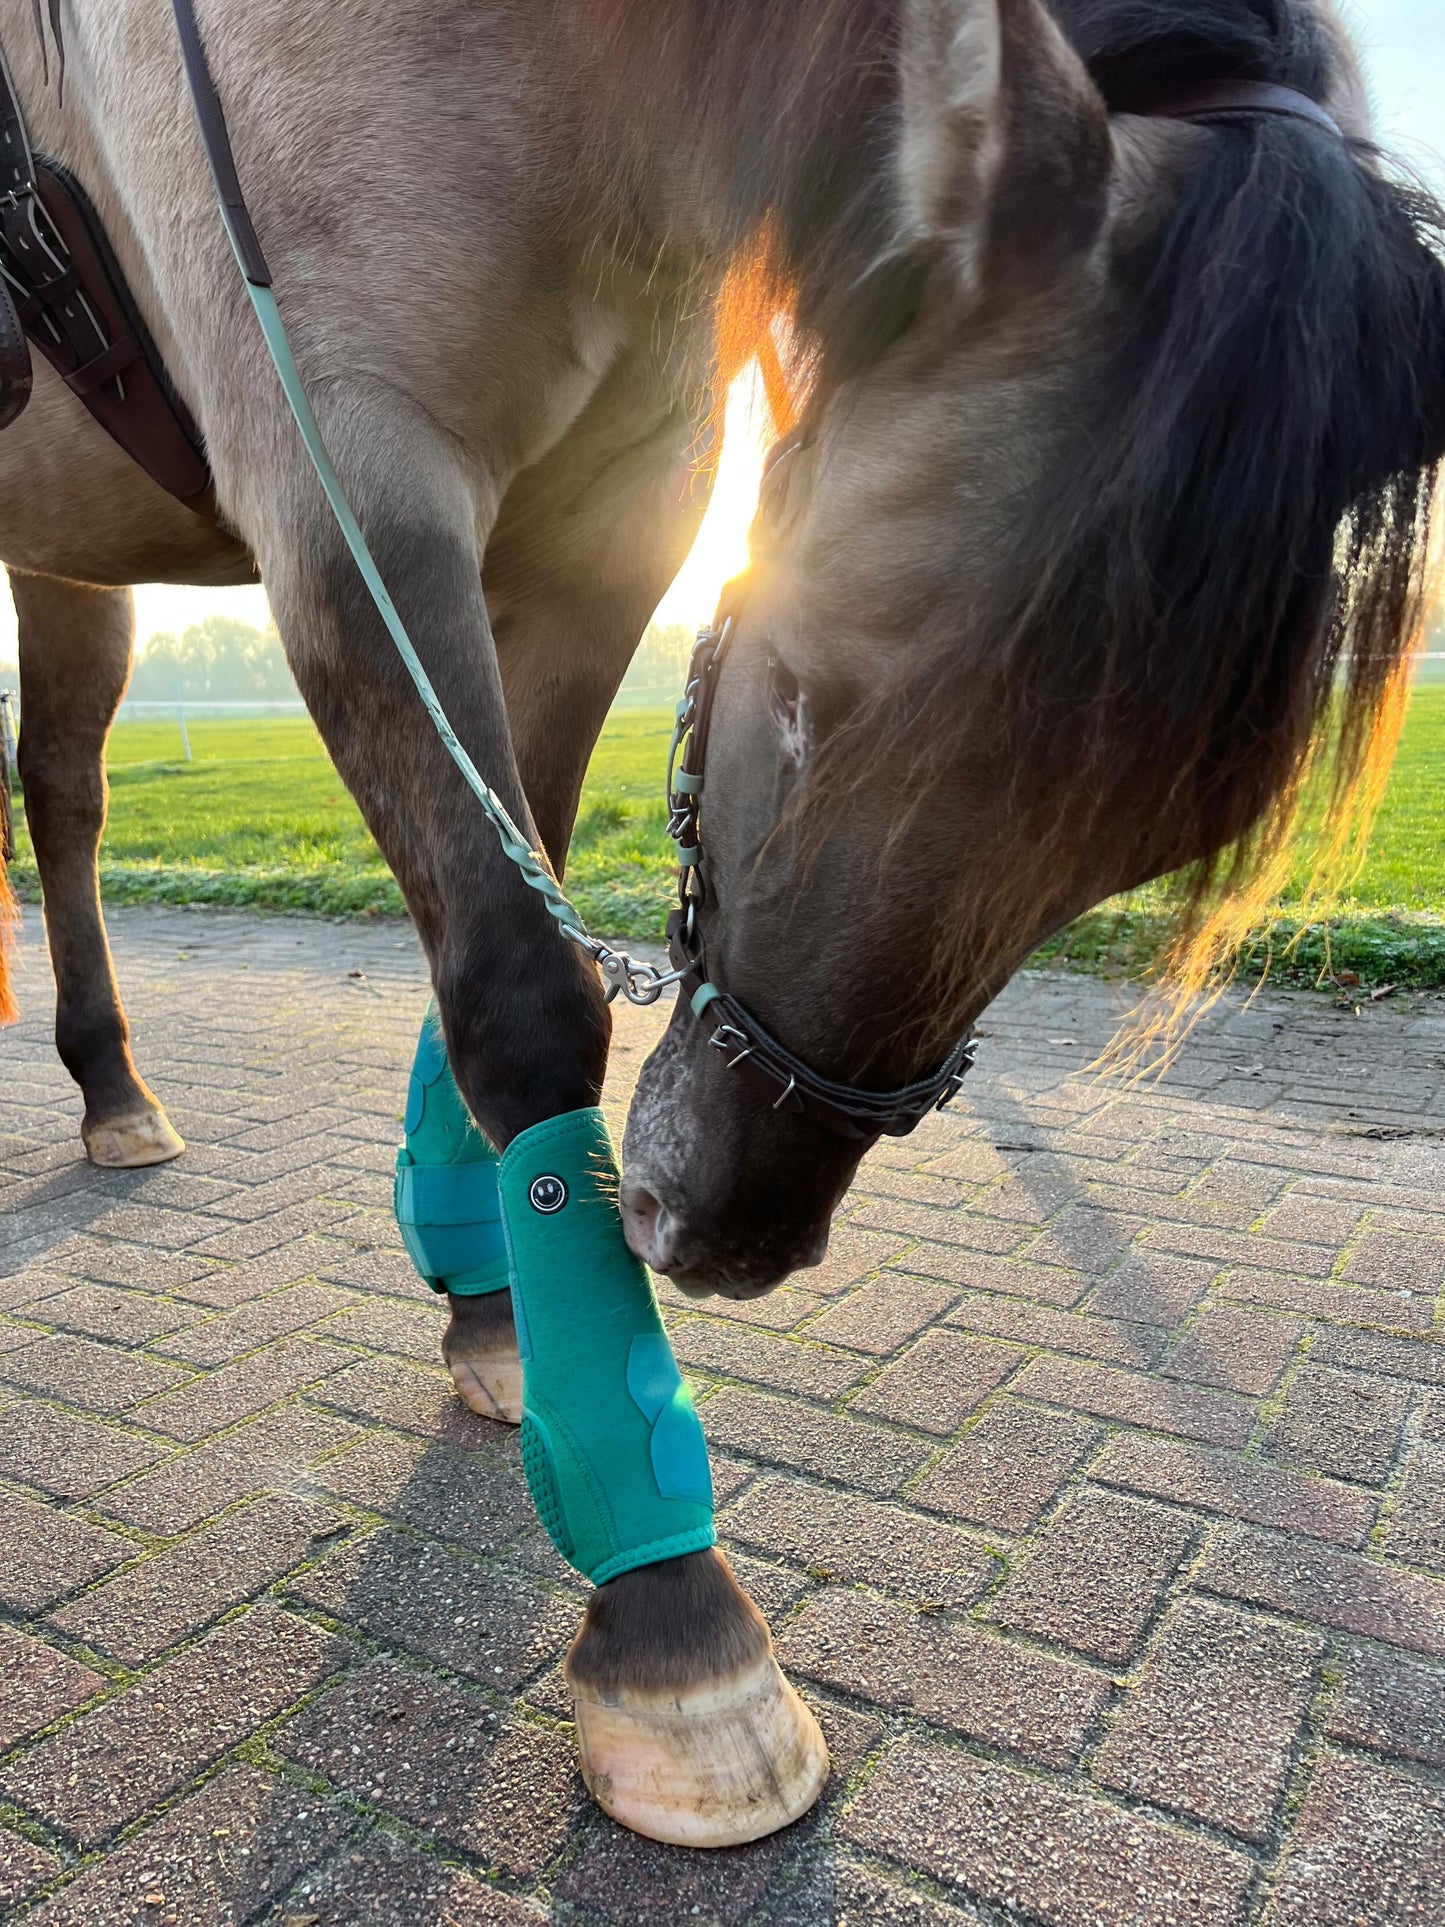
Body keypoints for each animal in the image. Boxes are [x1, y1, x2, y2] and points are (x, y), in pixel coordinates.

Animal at [1, 0, 1441, 1844]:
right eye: (807, 686)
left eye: (1150, 839)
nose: (729, 1232)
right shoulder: (341, 474)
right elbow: (520, 980)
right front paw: (674, 1622)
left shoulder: (617, 501)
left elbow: (514, 862)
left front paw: (485, 1295)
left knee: (63, 785)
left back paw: (114, 1089)